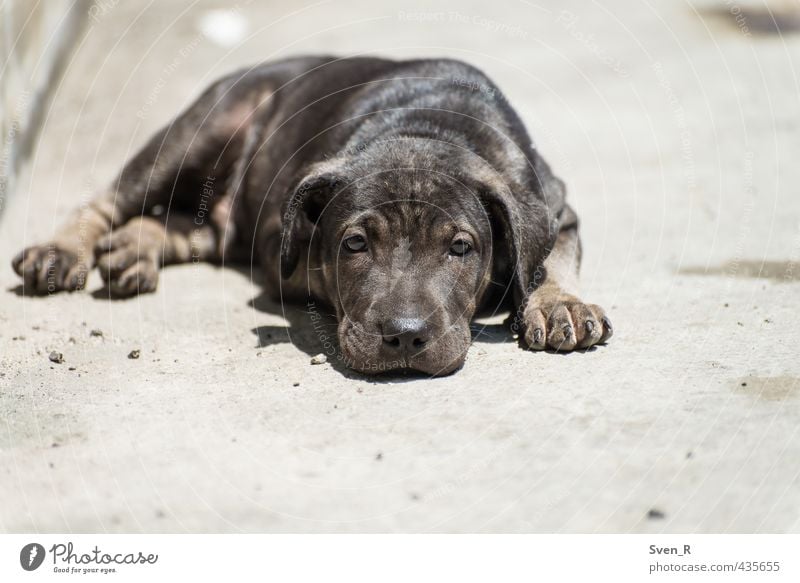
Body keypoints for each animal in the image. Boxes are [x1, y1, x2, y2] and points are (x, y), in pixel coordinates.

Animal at [10, 54, 612, 374]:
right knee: (110, 198)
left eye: (461, 247)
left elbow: (551, 255)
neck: (430, 129)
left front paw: (559, 305)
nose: (406, 338)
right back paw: (61, 252)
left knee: (189, 226)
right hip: (199, 128)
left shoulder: (554, 206)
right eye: (355, 244)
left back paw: (133, 251)